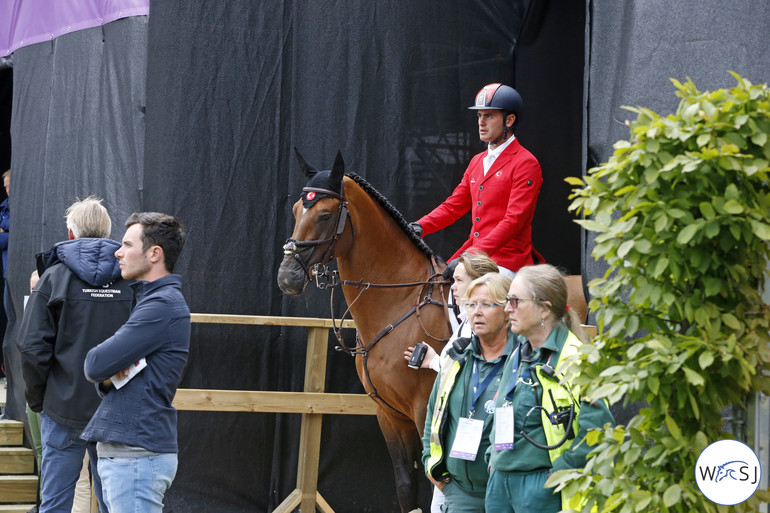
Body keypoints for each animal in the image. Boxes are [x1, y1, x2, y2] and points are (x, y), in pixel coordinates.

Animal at [278, 150, 450, 510]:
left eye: (325, 215)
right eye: (297, 209)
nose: (287, 277)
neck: (400, 301)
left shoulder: (425, 412)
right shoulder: (390, 415)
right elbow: (406, 486)